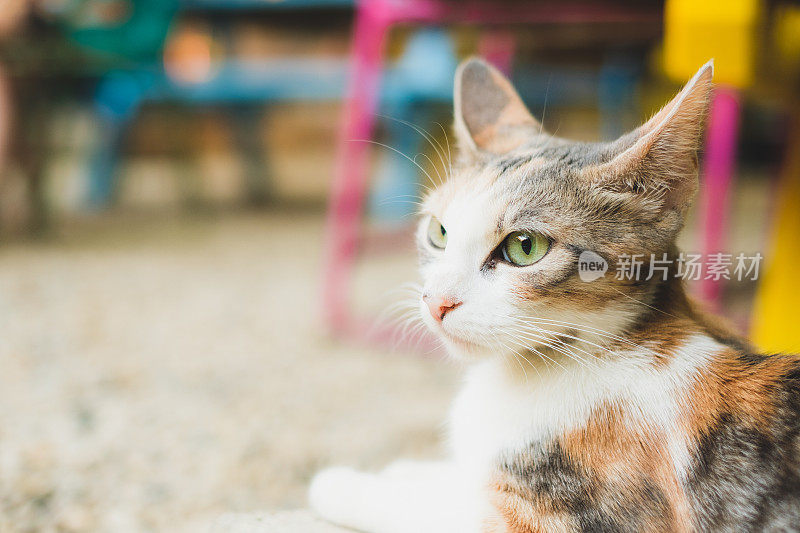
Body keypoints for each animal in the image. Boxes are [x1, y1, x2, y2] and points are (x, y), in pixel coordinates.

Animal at [308, 58, 800, 532]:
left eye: (525, 247)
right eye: (439, 232)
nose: (436, 302)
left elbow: (436, 510)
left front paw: (345, 483)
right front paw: (410, 470)